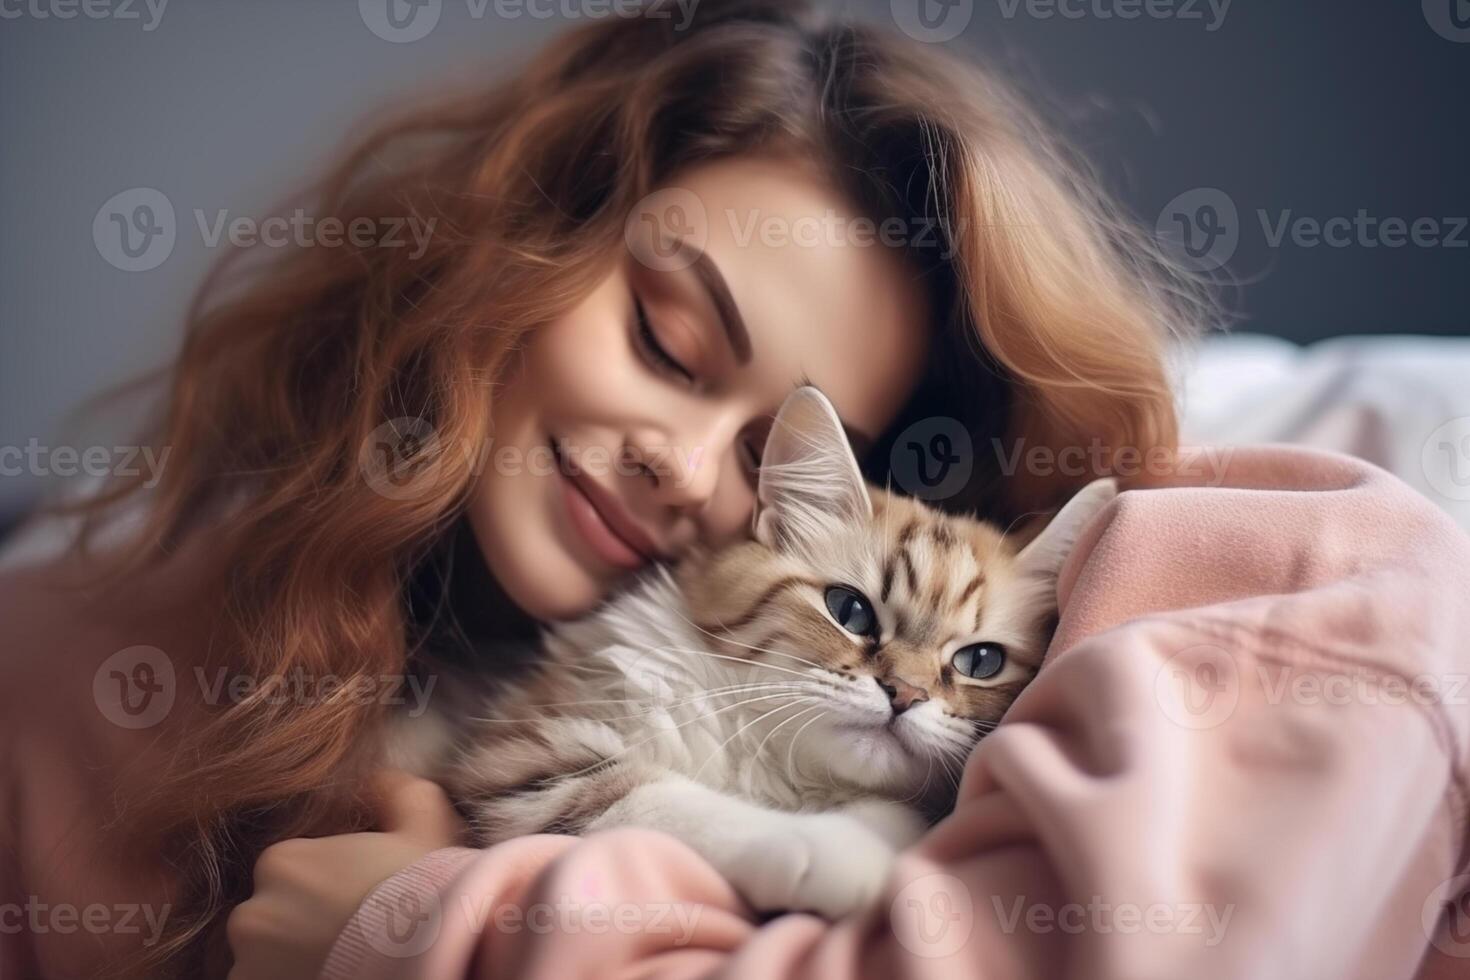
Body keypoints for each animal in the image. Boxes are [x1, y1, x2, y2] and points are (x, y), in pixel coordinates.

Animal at [393, 384, 1111, 922]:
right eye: (850, 611)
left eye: (979, 662)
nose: (904, 695)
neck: (777, 771)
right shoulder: (529, 758)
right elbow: (668, 798)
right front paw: (829, 853)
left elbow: (888, 810)